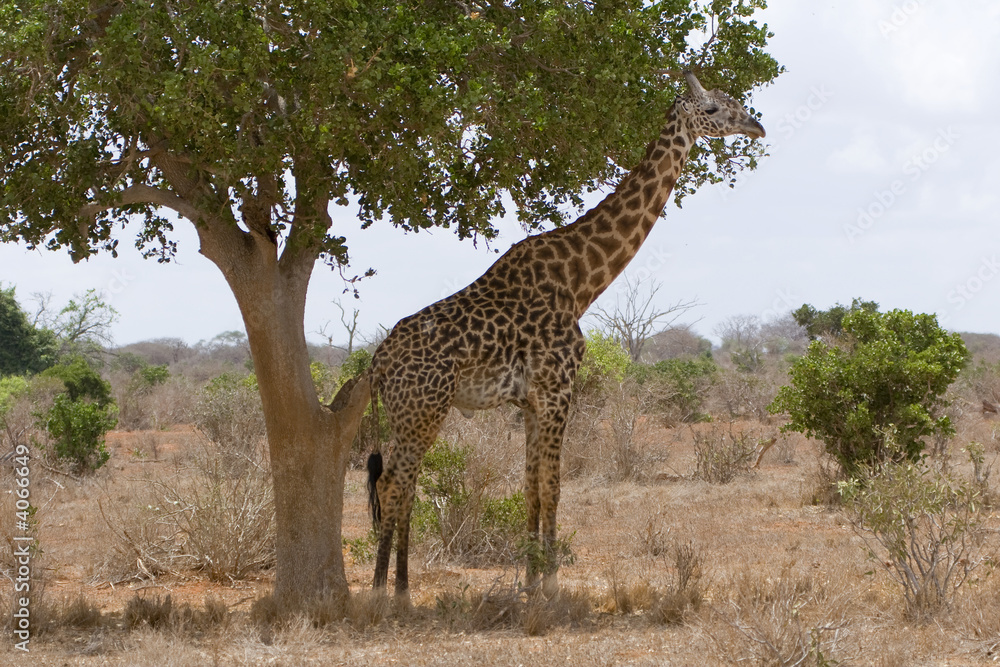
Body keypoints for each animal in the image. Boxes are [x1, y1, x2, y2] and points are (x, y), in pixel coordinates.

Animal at [359, 71, 765, 597]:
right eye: (714, 109)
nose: (756, 125)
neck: (581, 281)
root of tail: (377, 364)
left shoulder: (532, 401)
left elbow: (531, 487)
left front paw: (531, 580)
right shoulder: (558, 389)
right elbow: (553, 486)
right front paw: (551, 585)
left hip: (411, 413)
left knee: (401, 484)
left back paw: (402, 587)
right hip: (422, 409)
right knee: (394, 484)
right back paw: (382, 592)